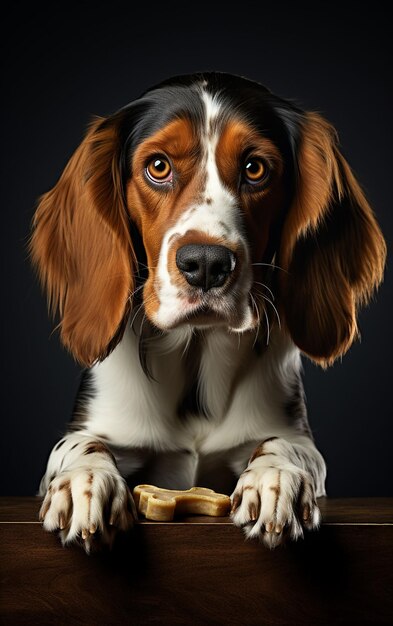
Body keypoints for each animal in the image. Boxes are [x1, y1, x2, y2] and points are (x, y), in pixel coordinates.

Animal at [29, 74, 382, 552]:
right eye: (158, 166)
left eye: (255, 168)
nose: (207, 264)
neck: (195, 360)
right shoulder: (94, 427)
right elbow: (80, 447)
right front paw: (84, 483)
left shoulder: (297, 438)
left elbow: (284, 446)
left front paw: (276, 479)